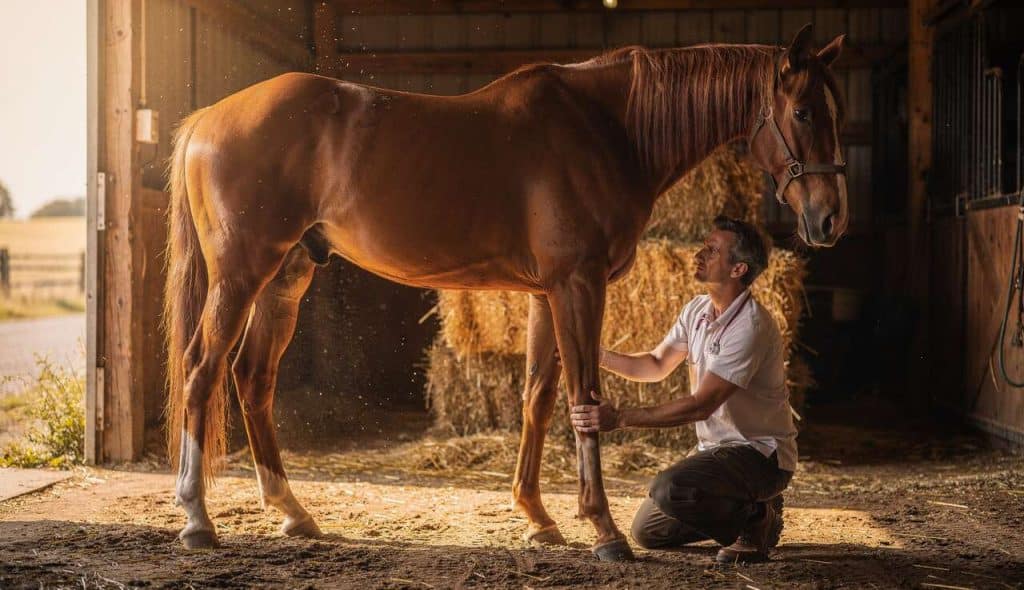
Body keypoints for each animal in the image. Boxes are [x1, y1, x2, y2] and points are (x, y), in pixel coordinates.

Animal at [163, 23, 848, 561]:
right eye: (804, 112)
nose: (829, 219)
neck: (609, 128)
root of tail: (207, 119)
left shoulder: (546, 293)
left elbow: (539, 397)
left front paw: (539, 519)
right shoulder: (578, 283)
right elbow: (582, 396)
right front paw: (602, 529)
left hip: (285, 278)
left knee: (252, 377)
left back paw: (293, 511)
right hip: (241, 273)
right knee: (203, 370)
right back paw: (197, 519)